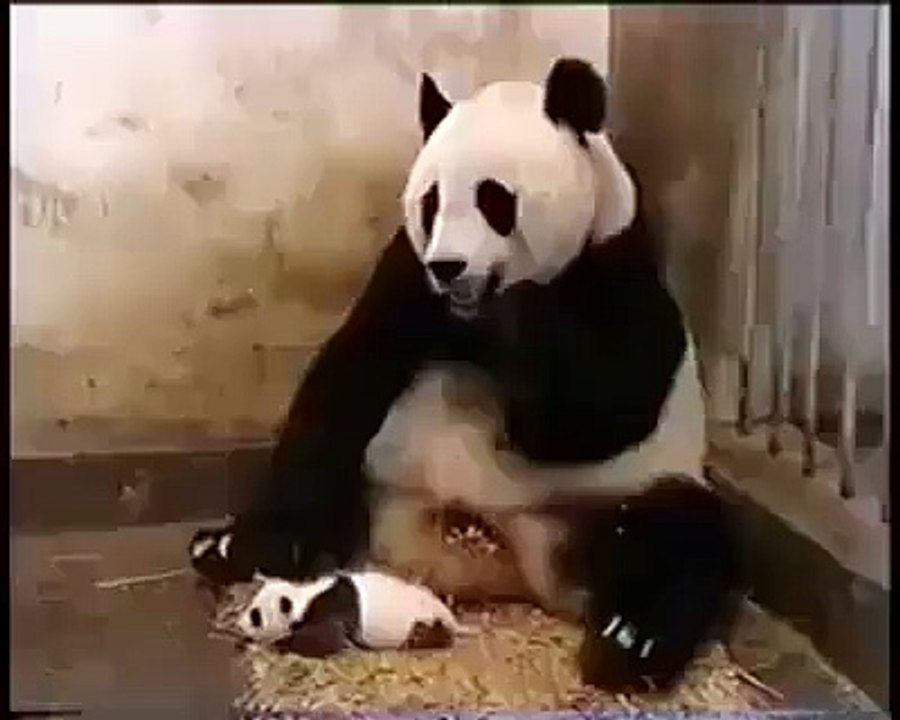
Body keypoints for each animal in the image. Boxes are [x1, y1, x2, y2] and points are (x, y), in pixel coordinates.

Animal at [189, 57, 741, 692]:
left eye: (494, 199)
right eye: (431, 201)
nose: (450, 267)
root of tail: (497, 561)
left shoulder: (616, 271)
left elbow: (599, 411)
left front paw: (524, 323)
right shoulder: (406, 272)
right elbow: (350, 373)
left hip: (610, 497)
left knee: (679, 534)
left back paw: (628, 641)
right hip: (380, 481)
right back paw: (232, 549)